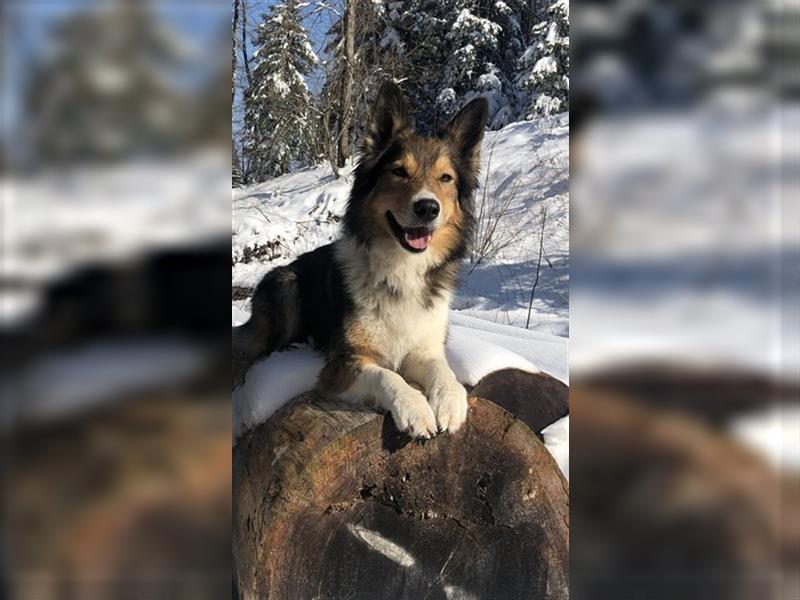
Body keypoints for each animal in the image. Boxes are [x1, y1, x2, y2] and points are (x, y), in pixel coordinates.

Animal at [233, 82, 488, 438]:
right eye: (399, 171)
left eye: (446, 178)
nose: (427, 208)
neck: (401, 267)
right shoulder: (344, 363)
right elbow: (387, 375)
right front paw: (414, 408)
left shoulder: (424, 348)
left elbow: (443, 370)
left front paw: (450, 402)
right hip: (286, 286)